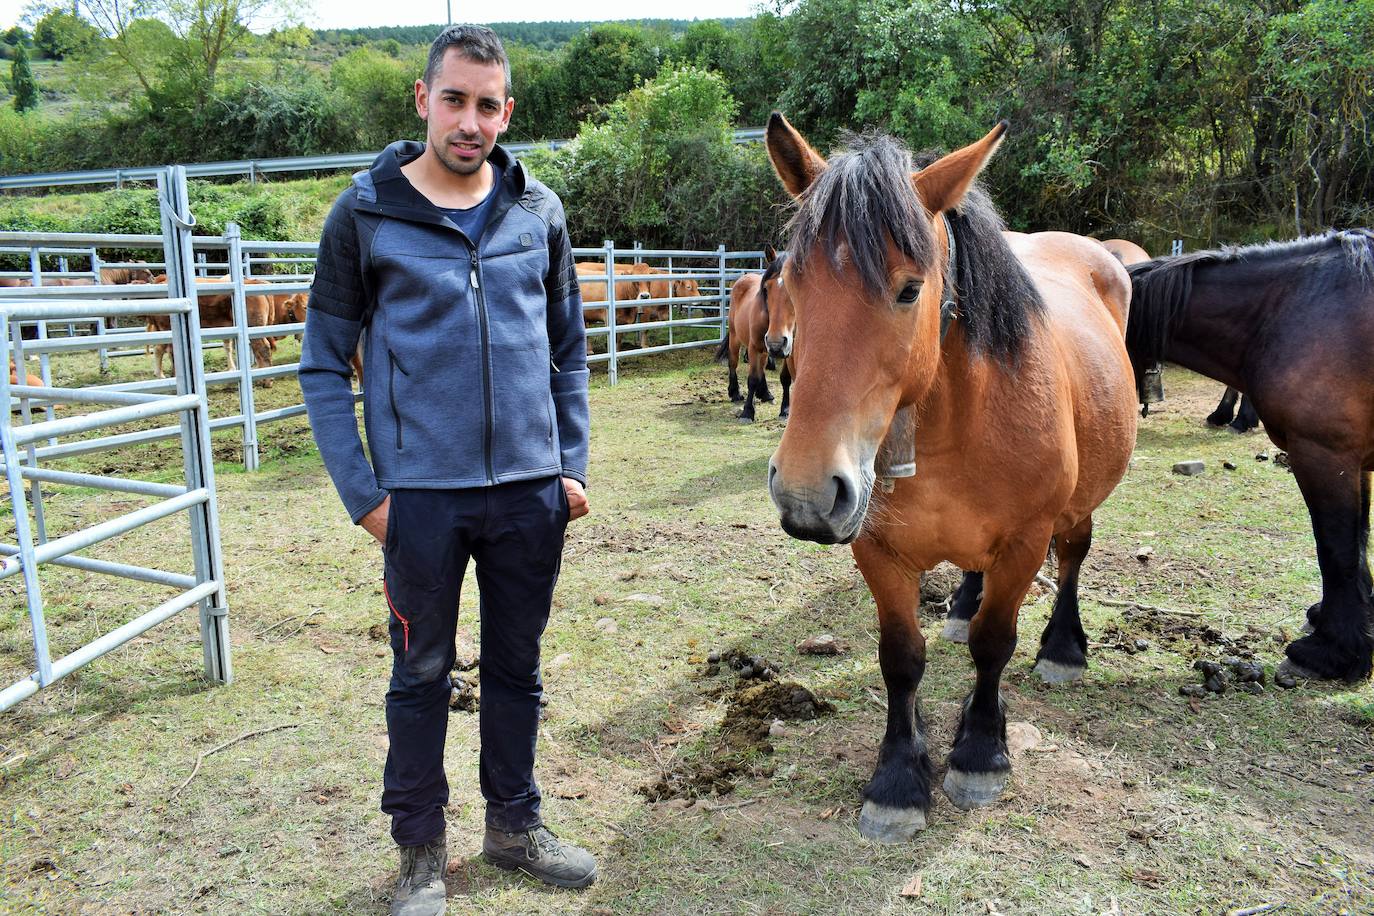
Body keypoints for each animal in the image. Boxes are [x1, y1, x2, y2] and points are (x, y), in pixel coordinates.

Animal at [714, 247, 802, 425]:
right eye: (766, 289)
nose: (776, 343)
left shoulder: (788, 350)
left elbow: (785, 378)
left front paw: (785, 410)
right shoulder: (754, 347)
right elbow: (752, 379)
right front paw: (747, 412)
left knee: (762, 367)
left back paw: (765, 393)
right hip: (736, 338)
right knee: (733, 363)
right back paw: (735, 393)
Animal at [763, 116, 1137, 845]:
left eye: (910, 288)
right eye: (791, 284)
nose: (807, 493)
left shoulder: (1025, 541)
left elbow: (996, 644)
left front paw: (980, 753)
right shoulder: (875, 548)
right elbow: (900, 657)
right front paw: (897, 779)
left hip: (1077, 508)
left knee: (1074, 557)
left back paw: (1063, 649)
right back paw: (962, 607)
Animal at [1126, 233, 1374, 683]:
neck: (1289, 307)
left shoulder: (1325, 454)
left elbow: (1337, 548)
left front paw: (1333, 652)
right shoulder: (1357, 462)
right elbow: (1359, 542)